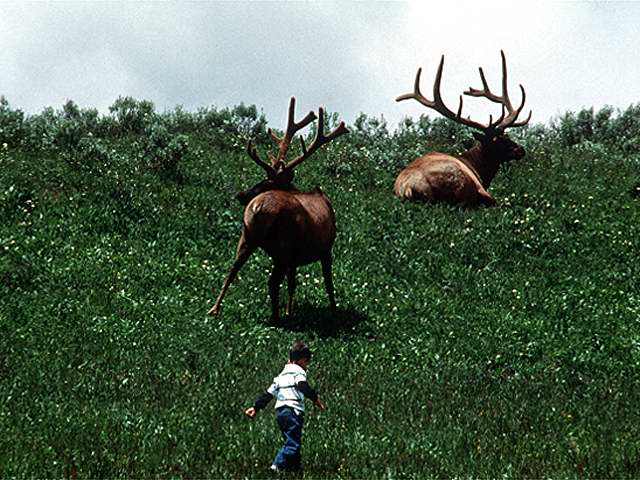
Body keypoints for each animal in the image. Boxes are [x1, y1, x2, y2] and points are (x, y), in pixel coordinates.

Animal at [208, 97, 349, 321]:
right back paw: (276, 318)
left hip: (247, 237)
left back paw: (214, 308)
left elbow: (292, 284)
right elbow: (328, 284)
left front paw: (290, 309)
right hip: (283, 244)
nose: (241, 195)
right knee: (272, 282)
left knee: (232, 270)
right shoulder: (326, 249)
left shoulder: (295, 258)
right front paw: (334, 312)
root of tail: (258, 207)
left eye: (266, 182)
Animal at [394, 51, 532, 206]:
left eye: (507, 135)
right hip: (462, 184)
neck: (478, 168)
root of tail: (408, 189)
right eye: (496, 140)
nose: (520, 149)